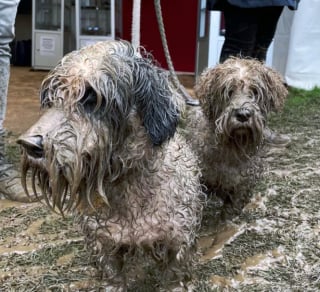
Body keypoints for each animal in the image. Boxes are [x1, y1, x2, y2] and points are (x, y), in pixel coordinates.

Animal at [17, 40, 204, 290]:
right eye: (50, 98)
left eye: (91, 97)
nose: (29, 144)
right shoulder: (105, 245)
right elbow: (113, 276)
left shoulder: (177, 246)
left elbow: (174, 277)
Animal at [185, 57, 288, 210]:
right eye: (228, 91)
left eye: (255, 92)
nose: (243, 114)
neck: (232, 148)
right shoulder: (202, 181)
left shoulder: (241, 190)